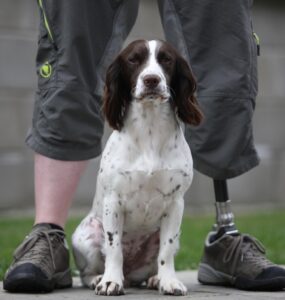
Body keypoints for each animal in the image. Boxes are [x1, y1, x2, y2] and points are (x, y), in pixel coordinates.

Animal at [72, 39, 203, 296]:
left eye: (166, 59)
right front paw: (110, 282)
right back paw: (98, 278)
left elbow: (166, 251)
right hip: (84, 236)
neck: (149, 131)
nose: (151, 79)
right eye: (133, 59)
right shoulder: (113, 201)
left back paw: (155, 279)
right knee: (86, 273)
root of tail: (131, 276)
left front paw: (169, 281)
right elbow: (114, 248)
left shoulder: (175, 204)